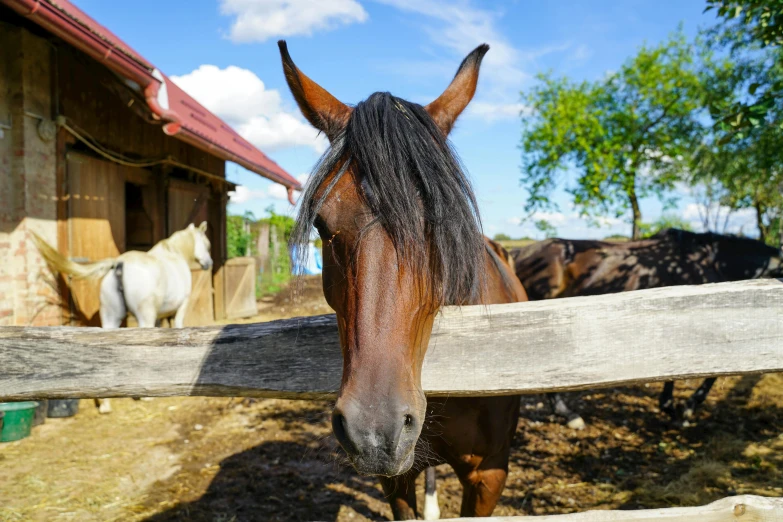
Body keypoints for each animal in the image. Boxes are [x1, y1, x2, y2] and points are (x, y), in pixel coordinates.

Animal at [32, 221, 213, 412]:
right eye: (207, 245)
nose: (209, 263)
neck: (174, 254)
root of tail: (119, 264)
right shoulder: (180, 308)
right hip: (144, 318)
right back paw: (144, 396)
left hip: (110, 319)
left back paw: (105, 404)